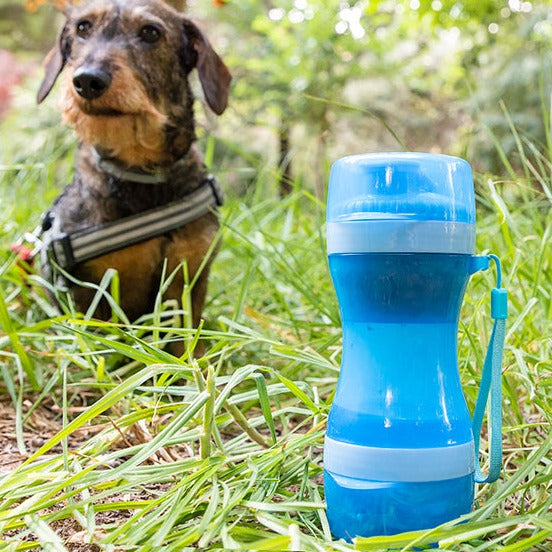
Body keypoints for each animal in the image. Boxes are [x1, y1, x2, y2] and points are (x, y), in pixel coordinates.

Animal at [36, 0, 231, 332]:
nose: (87, 80)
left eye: (150, 32)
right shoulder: (87, 293)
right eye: (83, 27)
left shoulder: (188, 278)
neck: (143, 175)